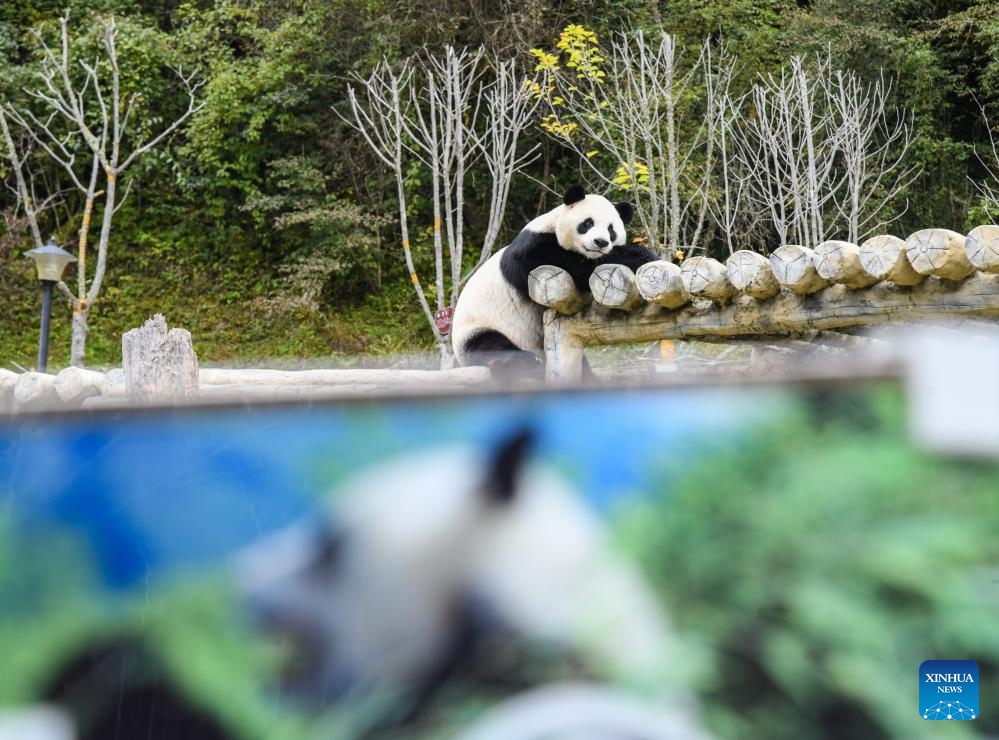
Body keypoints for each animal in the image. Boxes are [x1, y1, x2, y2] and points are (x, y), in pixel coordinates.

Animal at [452, 183, 656, 378]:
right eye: (588, 223)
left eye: (611, 229)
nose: (601, 242)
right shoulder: (533, 246)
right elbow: (556, 259)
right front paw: (639, 255)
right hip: (477, 327)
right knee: (489, 345)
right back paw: (524, 362)